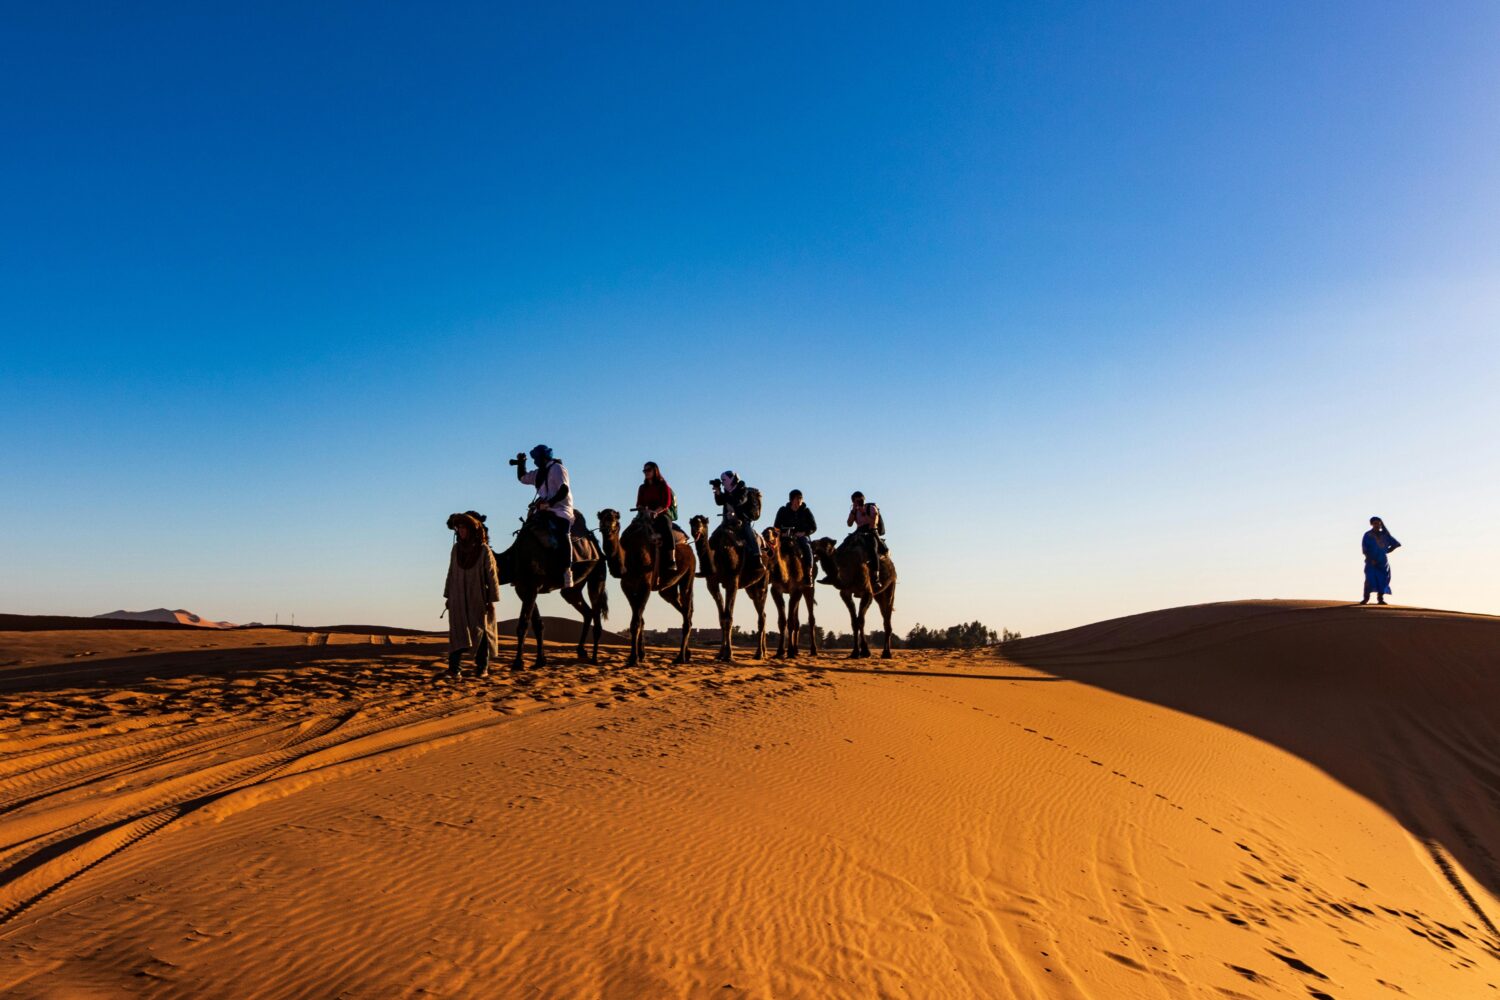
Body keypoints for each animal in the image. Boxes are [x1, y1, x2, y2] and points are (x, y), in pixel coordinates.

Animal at [495, 512, 606, 668]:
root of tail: (596, 545)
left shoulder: (531, 587)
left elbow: (523, 624)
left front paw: (518, 663)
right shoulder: (523, 589)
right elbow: (538, 624)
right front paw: (540, 661)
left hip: (598, 574)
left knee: (596, 611)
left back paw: (594, 659)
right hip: (573, 588)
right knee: (586, 610)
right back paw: (581, 651)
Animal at [597, 512, 696, 668]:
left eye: (615, 519)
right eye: (601, 518)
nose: (607, 528)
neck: (630, 556)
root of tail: (688, 546)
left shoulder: (645, 585)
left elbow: (636, 622)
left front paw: (633, 659)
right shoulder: (627, 586)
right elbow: (639, 620)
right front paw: (641, 655)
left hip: (689, 573)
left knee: (687, 610)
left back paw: (680, 657)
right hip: (668, 589)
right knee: (684, 609)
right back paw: (687, 654)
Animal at [687, 515, 768, 665]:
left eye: (704, 523)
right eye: (692, 523)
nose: (696, 530)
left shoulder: (732, 581)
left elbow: (729, 617)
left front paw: (729, 655)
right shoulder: (712, 583)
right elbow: (722, 618)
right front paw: (720, 654)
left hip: (763, 581)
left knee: (762, 615)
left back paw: (759, 654)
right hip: (750, 588)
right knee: (763, 613)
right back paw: (763, 652)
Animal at [762, 527, 822, 659]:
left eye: (775, 533)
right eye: (763, 532)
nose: (766, 536)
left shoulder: (796, 590)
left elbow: (790, 622)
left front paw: (789, 652)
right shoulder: (775, 590)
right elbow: (782, 621)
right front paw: (780, 651)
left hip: (809, 588)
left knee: (811, 618)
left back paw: (813, 650)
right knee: (797, 620)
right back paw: (796, 650)